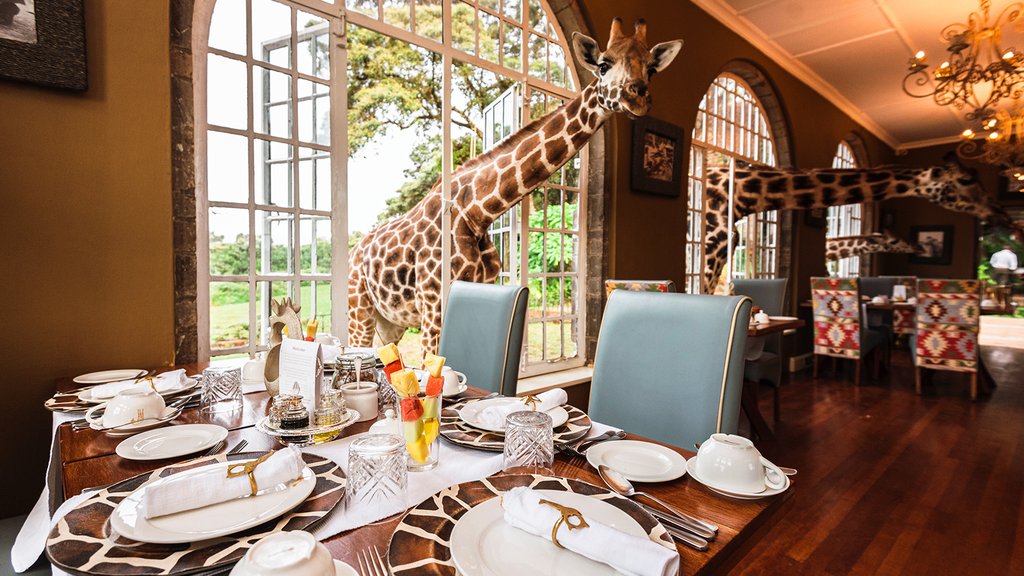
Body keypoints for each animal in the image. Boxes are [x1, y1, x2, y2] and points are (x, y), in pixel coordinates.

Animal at [348, 18, 683, 354]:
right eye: (603, 65)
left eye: (651, 69)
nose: (637, 96)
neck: (478, 212)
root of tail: (356, 251)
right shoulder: (433, 305)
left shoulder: (477, 290)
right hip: (360, 306)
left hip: (390, 322)